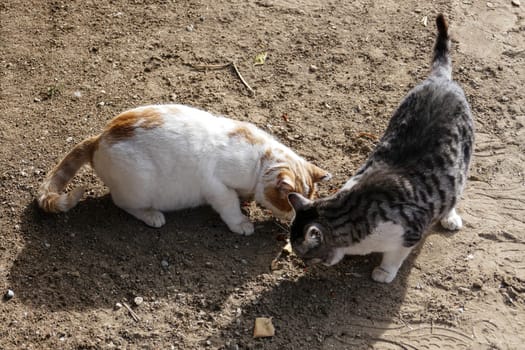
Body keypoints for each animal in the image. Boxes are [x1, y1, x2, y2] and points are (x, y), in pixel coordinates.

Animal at [39, 104, 330, 235]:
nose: (296, 218)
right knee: (121, 203)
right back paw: (151, 215)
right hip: (138, 186)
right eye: (291, 204)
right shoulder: (217, 186)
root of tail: (99, 138)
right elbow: (230, 206)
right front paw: (241, 221)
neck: (260, 161)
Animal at [286, 13, 474, 284]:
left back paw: (450, 217)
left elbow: (395, 256)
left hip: (462, 160)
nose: (304, 263)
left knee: (455, 191)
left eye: (306, 254)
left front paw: (384, 272)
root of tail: (440, 79)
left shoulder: (410, 232)